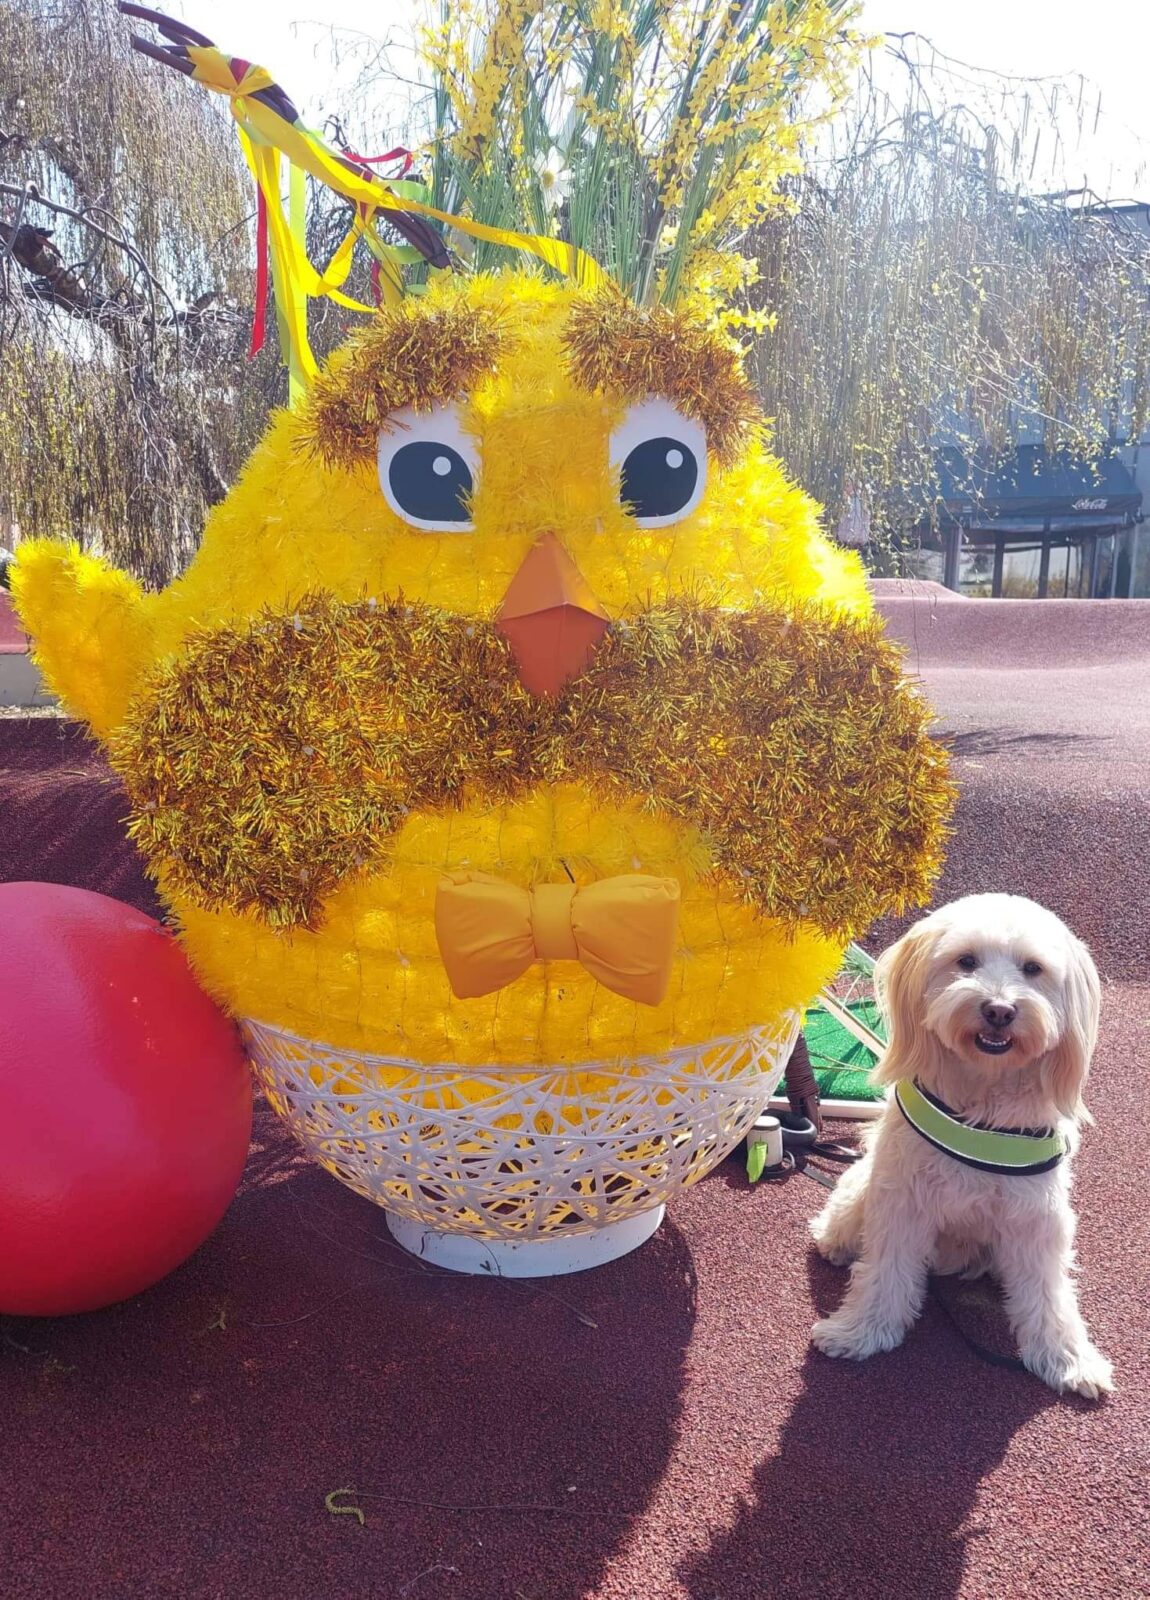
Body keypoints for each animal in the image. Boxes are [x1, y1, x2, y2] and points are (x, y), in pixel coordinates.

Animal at [810, 893, 1113, 1398]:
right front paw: (860, 1332)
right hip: (861, 1188)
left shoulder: (1037, 1220)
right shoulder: (902, 1201)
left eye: (1033, 968)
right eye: (966, 961)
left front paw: (1069, 1361)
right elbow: (884, 1274)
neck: (983, 1096)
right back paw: (833, 1243)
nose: (999, 1010)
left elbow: (1050, 1297)